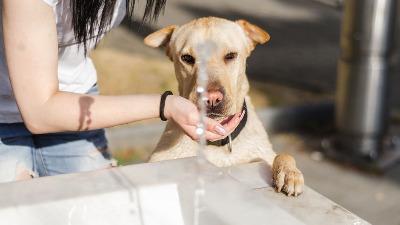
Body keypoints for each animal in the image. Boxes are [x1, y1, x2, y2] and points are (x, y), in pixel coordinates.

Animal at [145, 17, 304, 196]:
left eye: (230, 56)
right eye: (187, 58)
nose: (212, 98)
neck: (215, 145)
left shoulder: (264, 154)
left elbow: (284, 155)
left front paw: (289, 173)